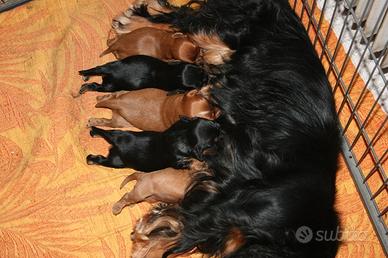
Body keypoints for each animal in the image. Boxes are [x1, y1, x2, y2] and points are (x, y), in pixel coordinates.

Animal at [77, 55, 208, 95]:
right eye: (200, 84)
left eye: (201, 70)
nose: (208, 77)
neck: (172, 73)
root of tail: (111, 72)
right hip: (109, 87)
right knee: (94, 85)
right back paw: (84, 87)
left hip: (107, 66)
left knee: (95, 69)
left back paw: (85, 75)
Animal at [87, 118, 218, 172]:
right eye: (213, 141)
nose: (219, 126)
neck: (184, 135)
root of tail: (116, 144)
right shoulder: (178, 162)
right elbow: (191, 161)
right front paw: (203, 165)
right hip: (117, 162)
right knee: (99, 159)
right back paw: (90, 160)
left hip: (118, 133)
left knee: (104, 132)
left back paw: (94, 132)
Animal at [88, 86, 221, 132]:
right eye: (211, 116)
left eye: (210, 102)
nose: (220, 110)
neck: (178, 106)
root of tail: (120, 103)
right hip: (119, 123)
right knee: (108, 123)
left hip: (125, 94)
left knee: (114, 94)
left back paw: (101, 97)